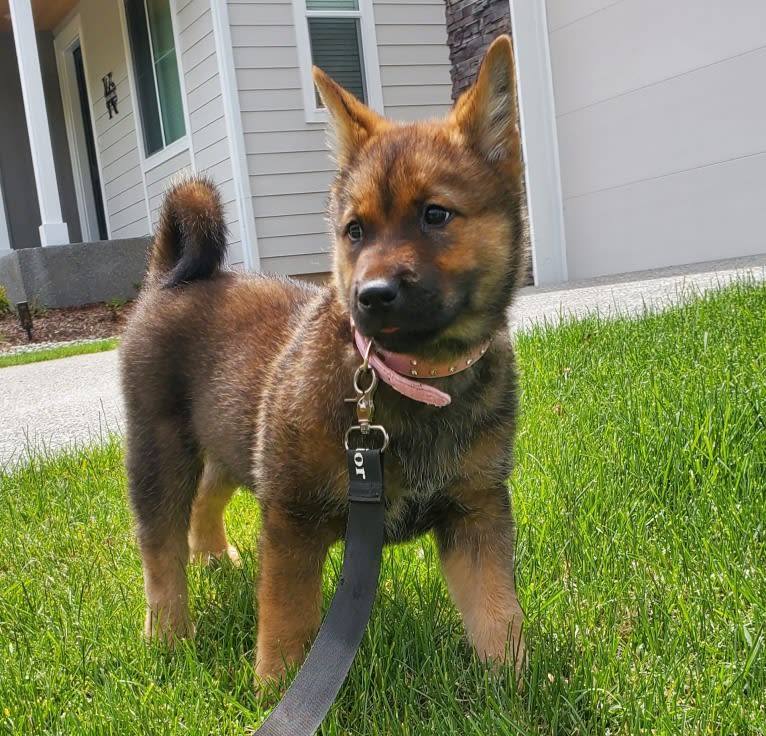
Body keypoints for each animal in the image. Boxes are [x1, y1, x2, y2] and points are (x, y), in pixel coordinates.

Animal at [121, 36, 528, 684]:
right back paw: (168, 633)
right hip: (160, 449)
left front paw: (515, 684)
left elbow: (496, 610)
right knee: (159, 550)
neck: (412, 380)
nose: (372, 295)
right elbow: (287, 617)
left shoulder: (477, 509)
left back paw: (213, 557)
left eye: (436, 215)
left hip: (232, 437)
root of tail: (167, 279)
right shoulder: (293, 518)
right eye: (354, 231)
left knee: (208, 493)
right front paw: (277, 685)